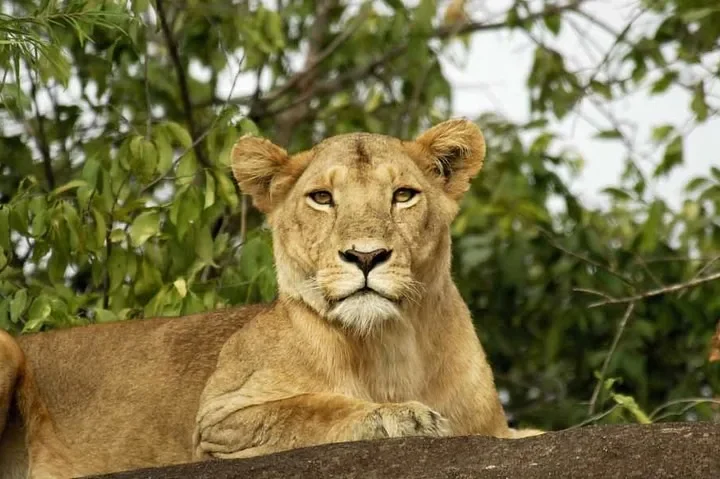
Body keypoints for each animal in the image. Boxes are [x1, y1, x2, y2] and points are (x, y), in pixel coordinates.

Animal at [0, 119, 541, 478]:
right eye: (322, 198)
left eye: (404, 195)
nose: (366, 256)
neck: (391, 344)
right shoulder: (219, 424)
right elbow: (308, 410)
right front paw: (399, 416)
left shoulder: (496, 429)